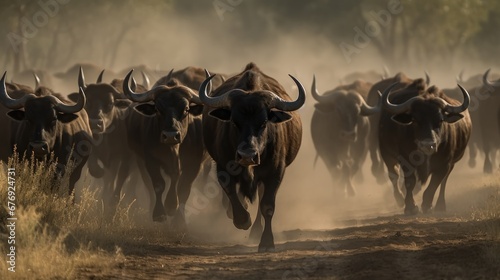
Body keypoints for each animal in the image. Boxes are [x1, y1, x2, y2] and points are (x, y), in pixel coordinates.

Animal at [198, 63, 304, 252]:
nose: (247, 155)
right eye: (234, 122)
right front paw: (242, 220)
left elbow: (267, 206)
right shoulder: (222, 168)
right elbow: (231, 194)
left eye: (263, 123)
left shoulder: (275, 173)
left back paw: (256, 230)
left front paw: (267, 242)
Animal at [380, 80, 470, 214]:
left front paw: (427, 205)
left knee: (444, 182)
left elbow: (434, 184)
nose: (428, 145)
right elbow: (410, 182)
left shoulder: (445, 164)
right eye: (415, 120)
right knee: (394, 175)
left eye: (440, 120)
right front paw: (411, 207)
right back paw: (399, 198)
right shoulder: (405, 159)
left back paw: (440, 205)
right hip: (386, 154)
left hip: (453, 163)